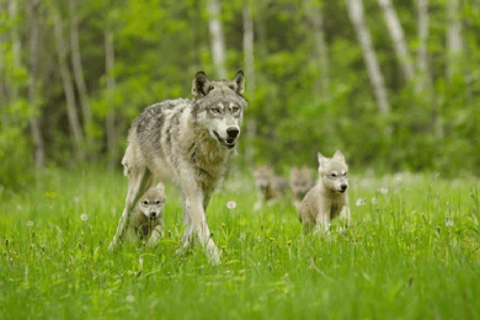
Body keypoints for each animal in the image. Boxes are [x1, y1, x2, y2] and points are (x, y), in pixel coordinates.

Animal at [109, 70, 248, 264]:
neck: (204, 150)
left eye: (235, 109)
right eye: (215, 110)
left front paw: (182, 253)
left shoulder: (204, 194)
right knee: (125, 213)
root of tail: (143, 113)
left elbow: (194, 229)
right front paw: (216, 262)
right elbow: (203, 230)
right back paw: (113, 247)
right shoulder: (193, 194)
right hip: (138, 188)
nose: (233, 131)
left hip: (181, 191)